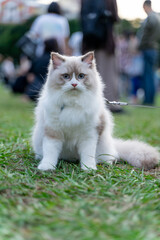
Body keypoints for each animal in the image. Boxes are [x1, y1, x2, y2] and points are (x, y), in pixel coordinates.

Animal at [31, 51, 159, 171]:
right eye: (66, 76)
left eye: (81, 76)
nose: (74, 84)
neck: (73, 103)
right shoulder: (53, 132)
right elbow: (50, 153)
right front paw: (46, 167)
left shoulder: (89, 135)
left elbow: (87, 155)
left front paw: (88, 168)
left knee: (111, 157)